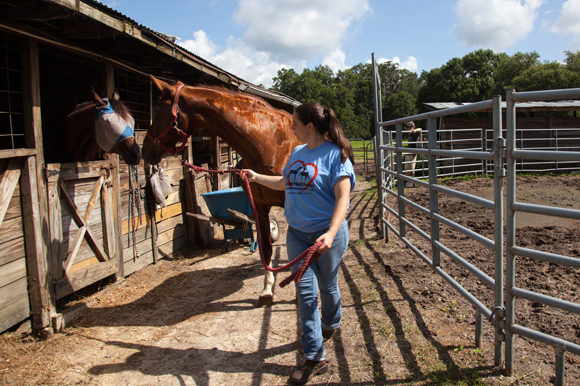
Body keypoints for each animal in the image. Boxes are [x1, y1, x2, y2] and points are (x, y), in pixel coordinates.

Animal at [143, 74, 302, 304]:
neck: (271, 145)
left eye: (157, 110)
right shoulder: (259, 207)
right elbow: (266, 248)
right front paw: (267, 290)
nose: (144, 150)